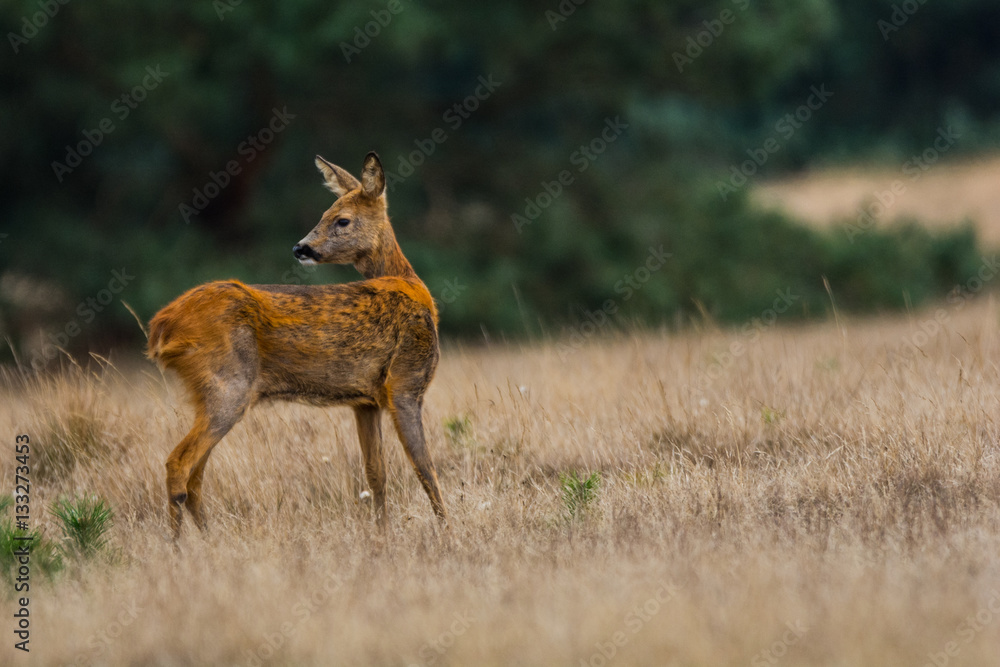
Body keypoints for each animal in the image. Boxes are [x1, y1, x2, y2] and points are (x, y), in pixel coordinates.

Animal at [147, 150, 446, 536]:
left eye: (342, 220)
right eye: (325, 214)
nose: (300, 247)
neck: (410, 283)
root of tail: (162, 325)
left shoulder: (364, 401)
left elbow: (376, 474)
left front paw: (382, 535)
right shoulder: (406, 384)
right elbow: (426, 469)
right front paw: (448, 532)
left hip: (211, 392)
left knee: (196, 475)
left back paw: (208, 539)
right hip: (229, 385)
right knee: (178, 463)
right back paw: (178, 544)